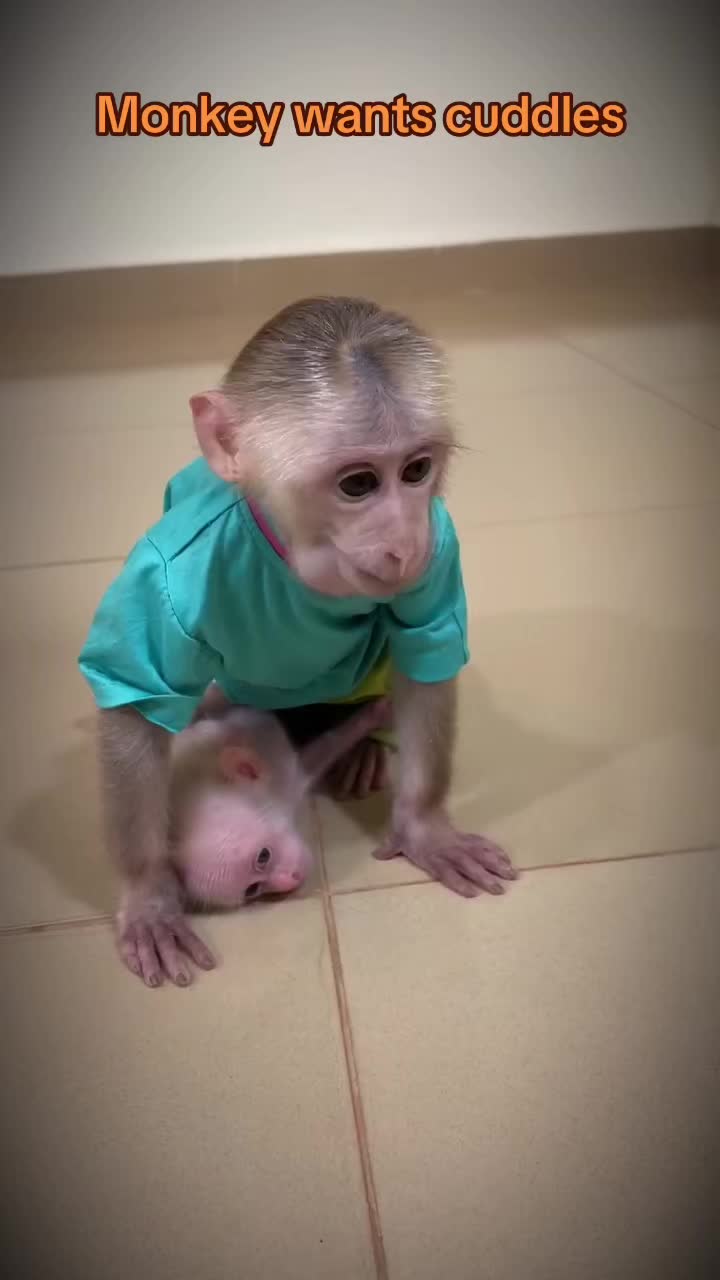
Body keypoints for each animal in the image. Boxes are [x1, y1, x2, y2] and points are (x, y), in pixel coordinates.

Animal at [79, 296, 516, 987]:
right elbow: (136, 701)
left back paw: (364, 746)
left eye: (417, 471)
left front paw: (424, 825)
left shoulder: (440, 545)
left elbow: (427, 655)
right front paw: (148, 893)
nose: (405, 540)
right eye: (358, 484)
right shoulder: (170, 570)